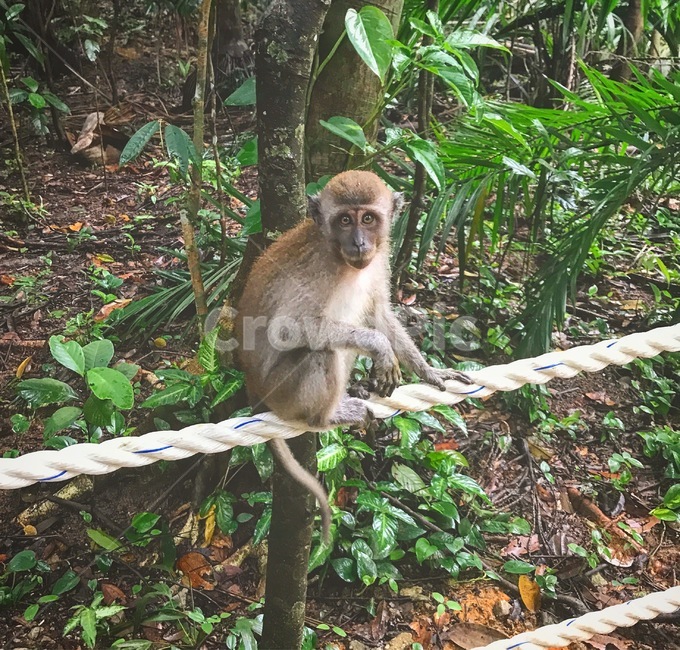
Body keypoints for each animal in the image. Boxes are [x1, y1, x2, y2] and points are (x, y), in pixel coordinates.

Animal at [235, 170, 471, 544]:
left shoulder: (379, 262)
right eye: (345, 220)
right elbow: (288, 330)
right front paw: (381, 350)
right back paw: (326, 416)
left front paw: (429, 371)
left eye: (369, 219)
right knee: (324, 350)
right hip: (283, 390)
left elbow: (380, 313)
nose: (360, 243)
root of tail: (253, 387)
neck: (338, 256)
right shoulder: (315, 272)